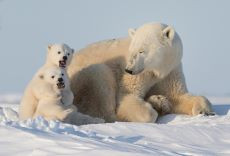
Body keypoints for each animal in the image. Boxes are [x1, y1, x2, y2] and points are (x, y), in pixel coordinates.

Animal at [67, 22, 213, 122]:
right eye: (132, 50)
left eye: (142, 51)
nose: (128, 69)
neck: (157, 69)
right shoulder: (138, 75)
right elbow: (127, 97)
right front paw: (153, 109)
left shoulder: (171, 70)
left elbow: (178, 96)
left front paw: (204, 110)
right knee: (100, 79)